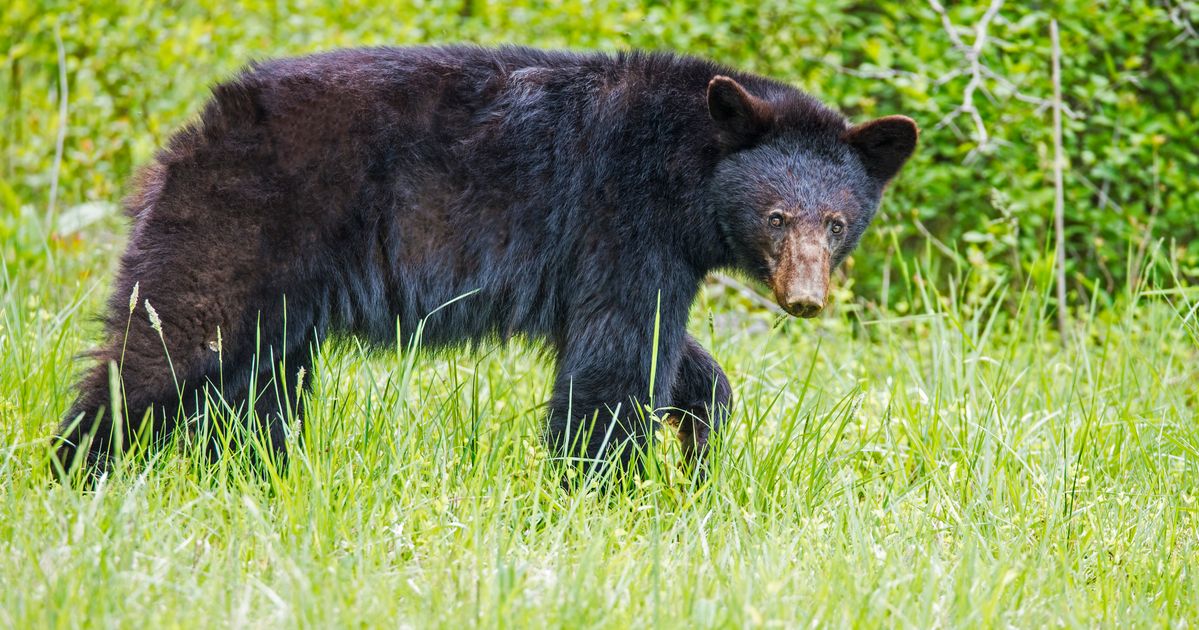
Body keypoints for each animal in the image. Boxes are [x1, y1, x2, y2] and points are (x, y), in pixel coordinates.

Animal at [53, 46, 916, 480]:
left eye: (836, 222)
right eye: (776, 217)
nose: (804, 297)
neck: (685, 162)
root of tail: (190, 136)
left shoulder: (633, 252)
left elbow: (669, 355)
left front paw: (700, 448)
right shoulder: (619, 217)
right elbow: (616, 357)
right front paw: (600, 488)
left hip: (282, 289)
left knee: (253, 385)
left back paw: (251, 474)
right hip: (240, 222)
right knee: (169, 343)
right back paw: (80, 470)